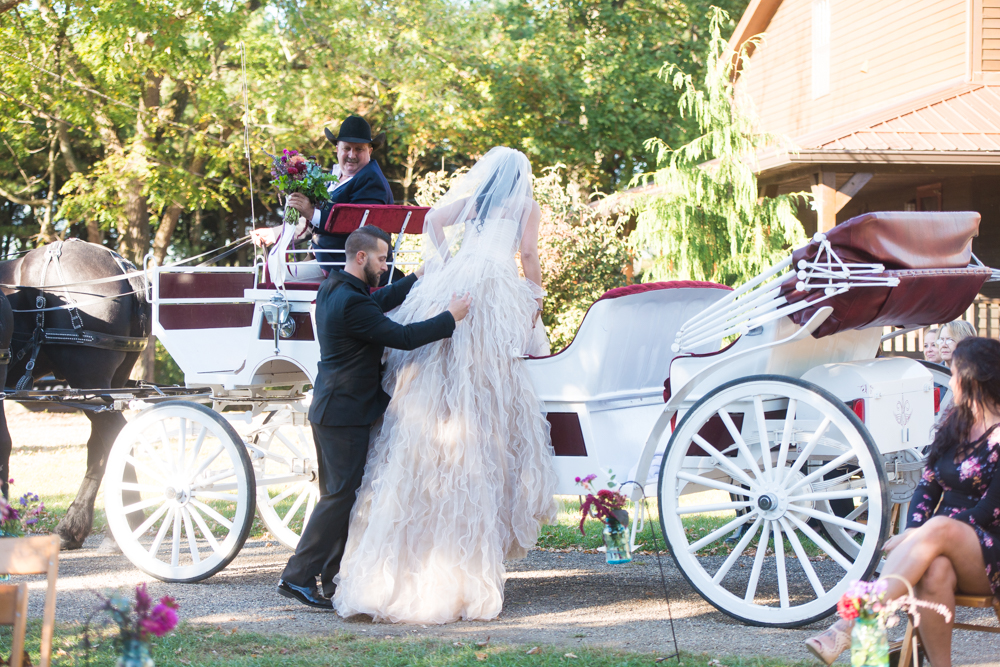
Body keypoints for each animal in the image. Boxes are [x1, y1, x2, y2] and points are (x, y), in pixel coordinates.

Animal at [0, 239, 150, 548]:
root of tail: (121, 265)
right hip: (106, 387)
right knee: (100, 448)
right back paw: (76, 527)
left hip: (88, 379)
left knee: (116, 437)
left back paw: (129, 525)